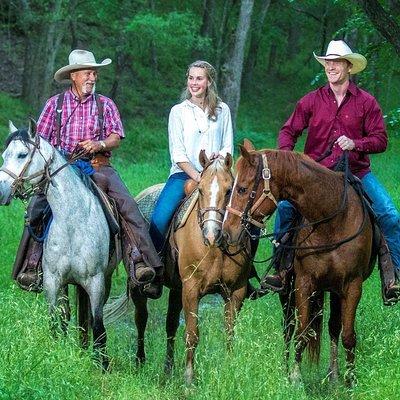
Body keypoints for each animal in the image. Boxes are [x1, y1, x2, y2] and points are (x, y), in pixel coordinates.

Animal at [0, 120, 115, 370]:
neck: (72, 221)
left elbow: (98, 323)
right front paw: (56, 354)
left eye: (23, 154)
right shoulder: (52, 281)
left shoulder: (96, 281)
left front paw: (102, 365)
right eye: (4, 155)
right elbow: (55, 321)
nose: (1, 191)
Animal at [222, 139, 376, 386]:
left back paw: (333, 375)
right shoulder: (304, 283)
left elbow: (348, 336)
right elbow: (302, 332)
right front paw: (295, 377)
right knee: (289, 328)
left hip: (334, 290)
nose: (226, 233)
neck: (331, 219)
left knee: (334, 327)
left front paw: (350, 381)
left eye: (242, 189)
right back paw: (286, 368)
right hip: (288, 292)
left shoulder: (353, 285)